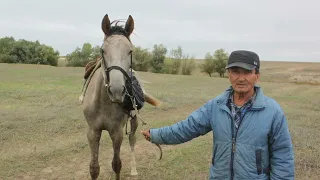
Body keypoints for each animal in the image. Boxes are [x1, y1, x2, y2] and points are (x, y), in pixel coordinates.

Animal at [82, 14, 161, 180]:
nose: (117, 90)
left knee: (132, 140)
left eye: (130, 51)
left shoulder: (116, 132)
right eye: (103, 50)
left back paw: (134, 169)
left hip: (134, 119)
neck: (104, 103)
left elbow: (117, 164)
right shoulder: (92, 132)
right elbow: (94, 168)